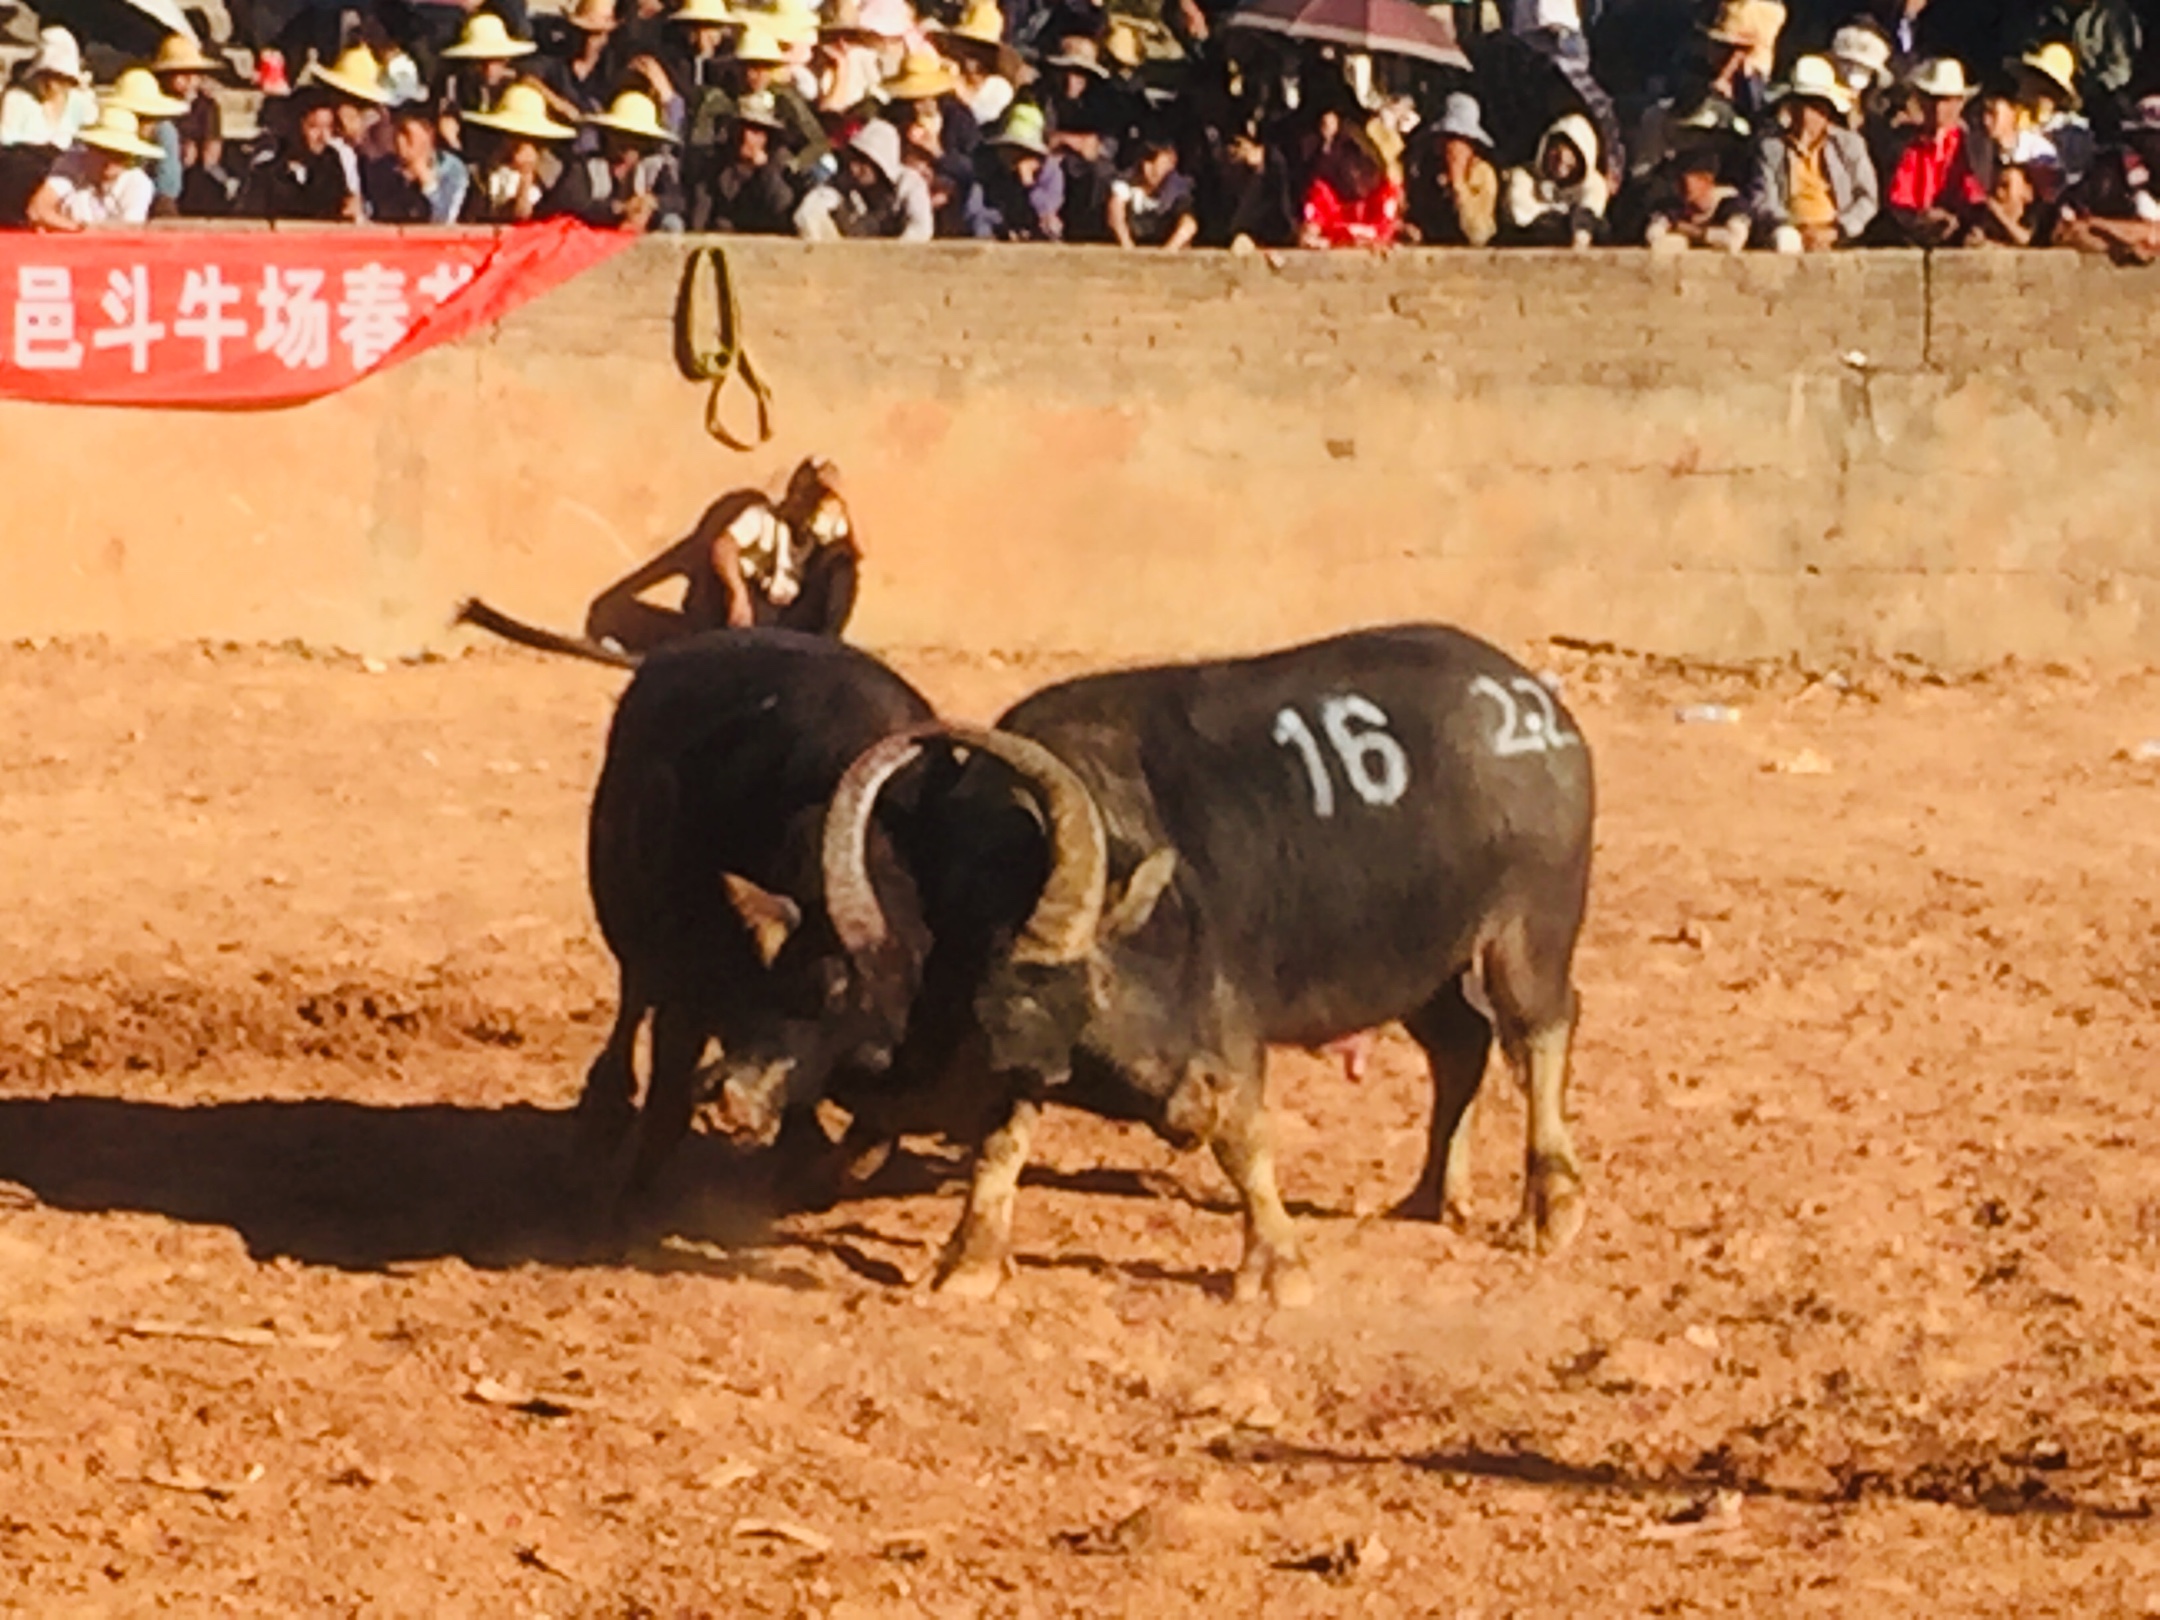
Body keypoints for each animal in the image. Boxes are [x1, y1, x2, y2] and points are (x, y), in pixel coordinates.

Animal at [578, 635, 941, 1209]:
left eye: (869, 1056)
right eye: (821, 988)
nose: (738, 1104)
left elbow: (868, 1144)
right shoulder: (687, 984)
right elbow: (666, 1107)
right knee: (633, 995)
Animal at [816, 622, 1598, 1304]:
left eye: (1100, 982)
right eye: (1045, 1038)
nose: (1196, 1101)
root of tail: (1534, 701)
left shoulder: (1227, 1026)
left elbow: (1245, 1138)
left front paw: (1277, 1266)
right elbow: (1001, 1136)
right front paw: (970, 1260)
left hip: (1529, 930)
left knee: (1540, 1032)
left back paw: (1550, 1208)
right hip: (1422, 964)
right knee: (1461, 1044)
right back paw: (1433, 1191)